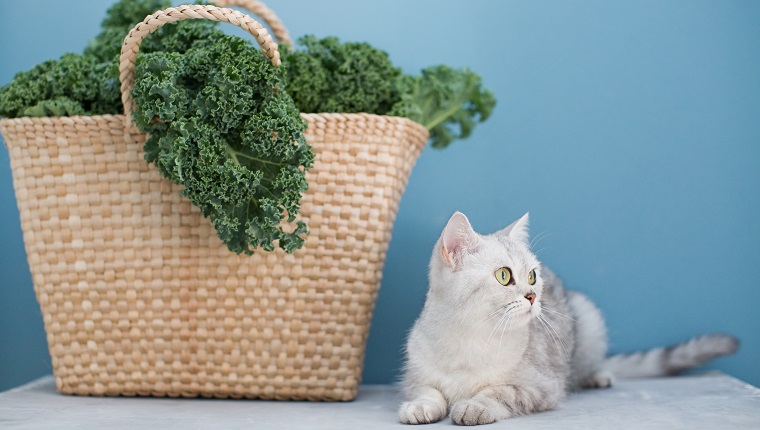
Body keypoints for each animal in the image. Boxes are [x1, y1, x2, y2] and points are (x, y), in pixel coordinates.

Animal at [400, 210, 740, 424]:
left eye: (532, 276)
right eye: (503, 275)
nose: (533, 295)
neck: (469, 338)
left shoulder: (541, 386)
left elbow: (500, 391)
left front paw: (474, 405)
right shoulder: (416, 373)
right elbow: (426, 390)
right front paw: (419, 406)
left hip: (588, 319)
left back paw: (595, 376)